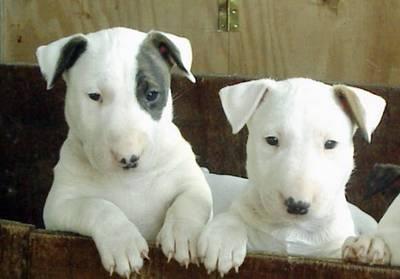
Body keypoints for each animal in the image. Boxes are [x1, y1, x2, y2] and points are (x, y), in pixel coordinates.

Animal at [37, 27, 212, 278]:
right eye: (94, 96)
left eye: (152, 94)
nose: (129, 158)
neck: (130, 180)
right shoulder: (58, 206)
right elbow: (98, 206)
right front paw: (122, 243)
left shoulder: (192, 181)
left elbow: (191, 201)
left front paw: (184, 235)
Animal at [198, 77, 386, 276]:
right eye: (271, 140)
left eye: (330, 143)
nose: (297, 206)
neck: (293, 228)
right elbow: (232, 217)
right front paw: (221, 242)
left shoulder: (331, 251)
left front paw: (367, 245)